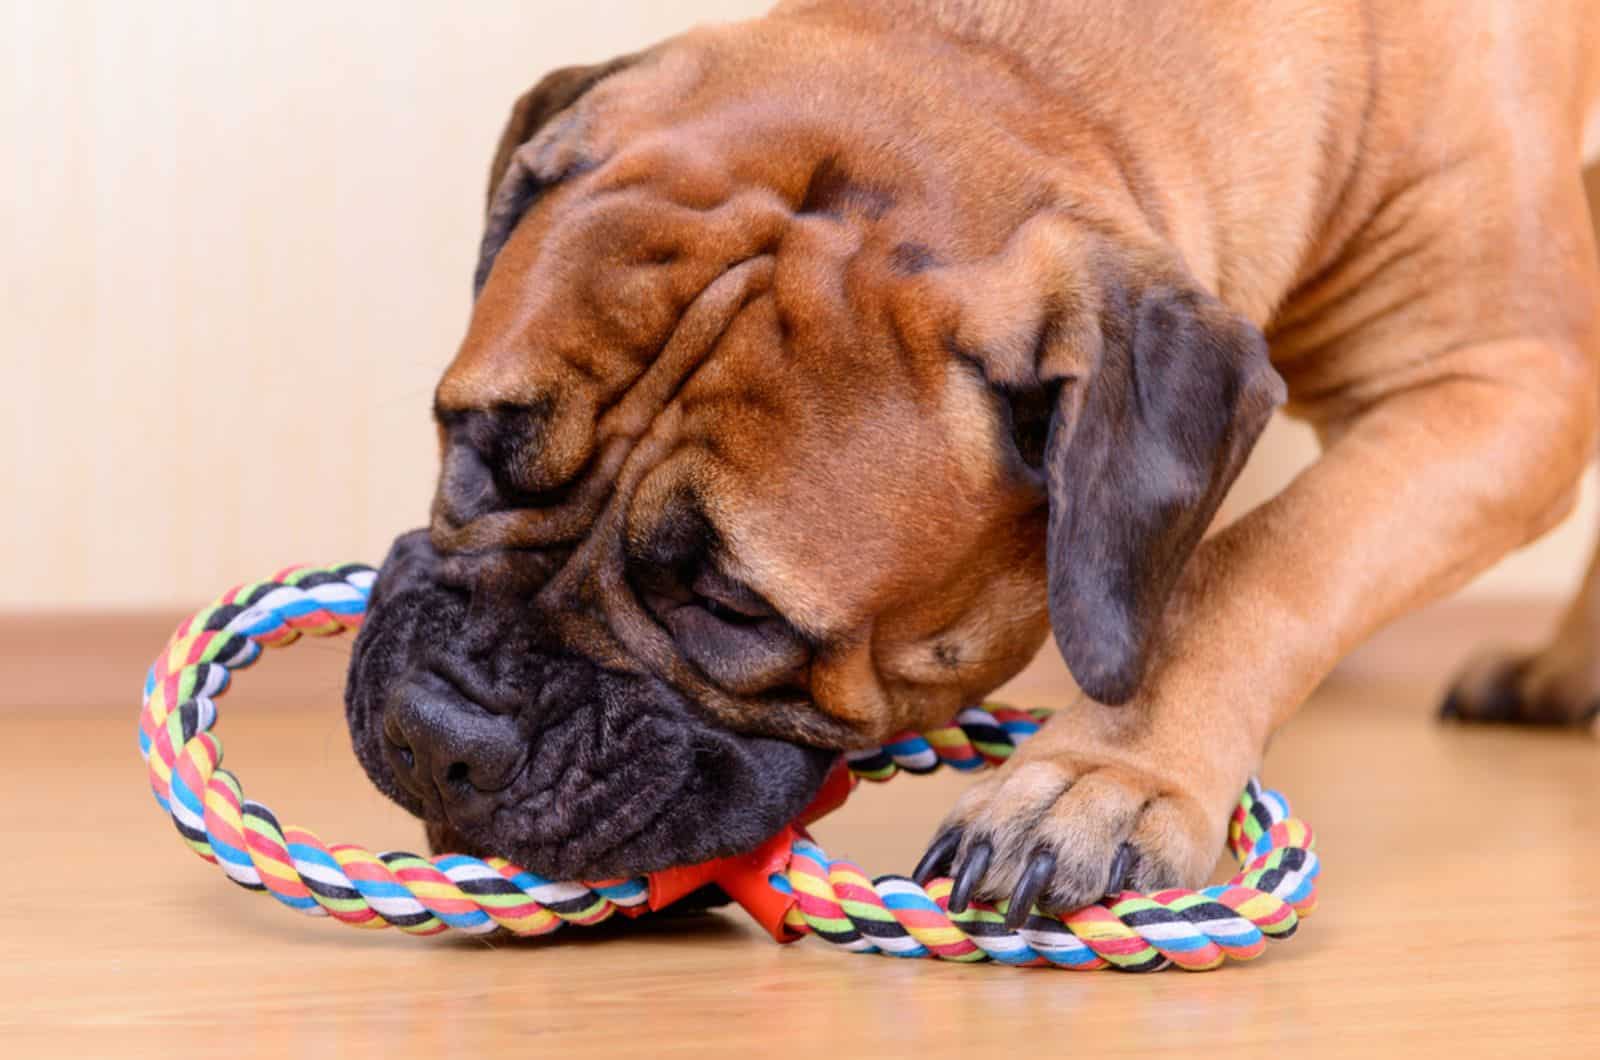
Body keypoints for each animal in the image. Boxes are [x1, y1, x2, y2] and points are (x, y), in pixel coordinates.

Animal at [344, 0, 1600, 928]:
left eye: (736, 609)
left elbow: (1261, 559)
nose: (443, 735)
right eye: (472, 448)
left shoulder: (1502, 381)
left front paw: (1106, 777)